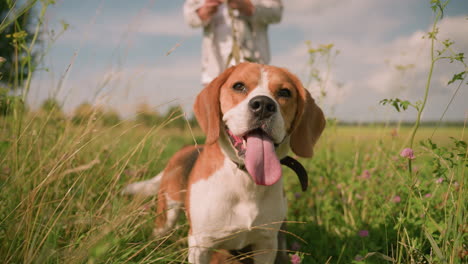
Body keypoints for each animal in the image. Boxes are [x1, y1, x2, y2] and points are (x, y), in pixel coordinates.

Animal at [122, 62, 324, 264]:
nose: (263, 105)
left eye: (284, 92)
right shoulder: (200, 244)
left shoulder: (266, 245)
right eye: (239, 86)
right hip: (166, 215)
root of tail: (184, 150)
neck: (245, 178)